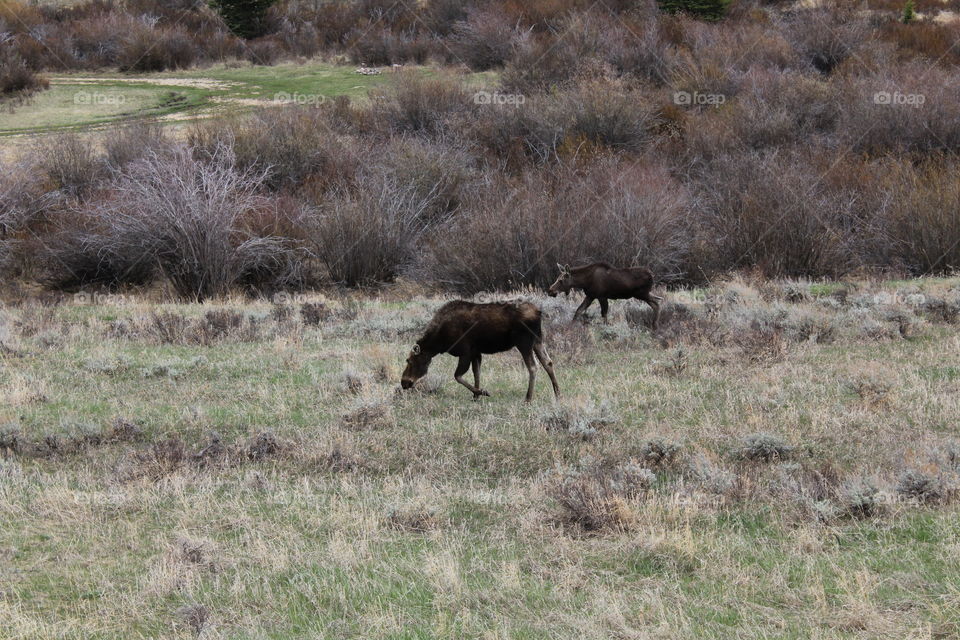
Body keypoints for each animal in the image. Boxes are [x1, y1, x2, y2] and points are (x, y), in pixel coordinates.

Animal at [402, 300, 560, 400]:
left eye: (409, 360)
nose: (404, 383)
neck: (439, 342)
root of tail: (539, 312)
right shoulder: (476, 352)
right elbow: (476, 373)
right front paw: (476, 396)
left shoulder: (465, 352)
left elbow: (457, 376)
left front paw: (482, 392)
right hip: (538, 340)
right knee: (548, 362)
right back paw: (558, 394)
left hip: (524, 342)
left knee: (533, 366)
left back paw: (528, 398)